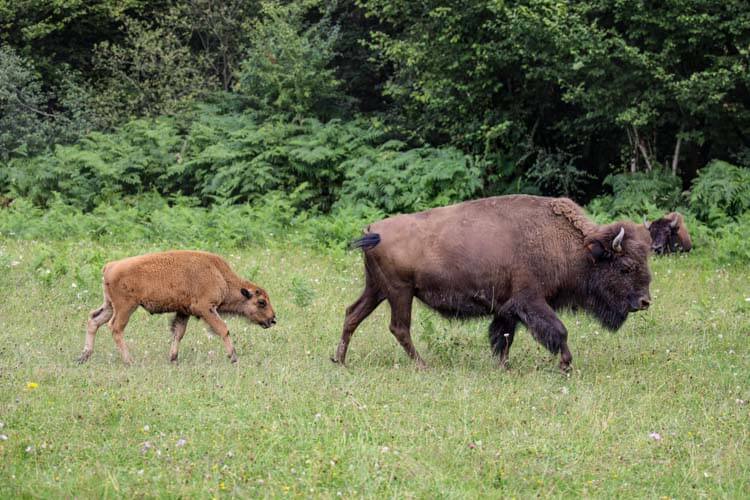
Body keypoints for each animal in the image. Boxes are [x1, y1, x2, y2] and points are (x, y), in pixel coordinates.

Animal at [78, 249, 278, 364]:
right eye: (261, 302)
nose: (273, 319)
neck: (220, 275)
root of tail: (110, 266)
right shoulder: (205, 308)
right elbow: (223, 329)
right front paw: (234, 357)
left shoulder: (184, 311)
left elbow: (178, 333)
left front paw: (173, 358)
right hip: (125, 307)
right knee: (115, 327)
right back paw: (129, 361)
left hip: (109, 305)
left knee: (93, 320)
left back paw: (83, 357)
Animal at [332, 195, 656, 372]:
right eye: (626, 267)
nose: (645, 301)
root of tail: (373, 230)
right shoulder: (531, 301)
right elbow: (558, 330)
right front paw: (565, 364)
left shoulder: (507, 308)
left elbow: (503, 337)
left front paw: (503, 366)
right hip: (400, 292)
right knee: (399, 327)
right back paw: (422, 365)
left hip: (377, 289)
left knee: (352, 314)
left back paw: (340, 360)